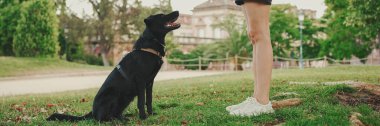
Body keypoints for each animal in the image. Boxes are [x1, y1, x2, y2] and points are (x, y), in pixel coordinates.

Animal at [46, 11, 181, 122]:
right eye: (162, 16)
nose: (177, 11)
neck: (151, 42)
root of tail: (93, 112)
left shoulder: (150, 82)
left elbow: (149, 100)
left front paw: (151, 114)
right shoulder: (141, 81)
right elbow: (142, 101)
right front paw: (143, 117)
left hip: (126, 99)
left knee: (115, 113)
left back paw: (124, 117)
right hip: (113, 94)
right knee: (102, 119)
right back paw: (118, 120)